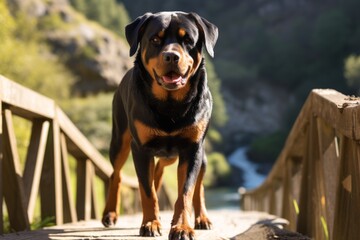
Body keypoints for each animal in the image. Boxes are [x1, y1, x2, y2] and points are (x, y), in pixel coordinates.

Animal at [102, 11, 218, 240]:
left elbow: (186, 191)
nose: (171, 56)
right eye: (155, 39)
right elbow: (147, 191)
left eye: (188, 40)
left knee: (195, 185)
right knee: (116, 174)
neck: (170, 104)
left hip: (197, 155)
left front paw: (182, 226)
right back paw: (110, 213)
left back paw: (202, 218)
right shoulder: (140, 148)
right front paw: (150, 223)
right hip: (120, 140)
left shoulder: (192, 149)